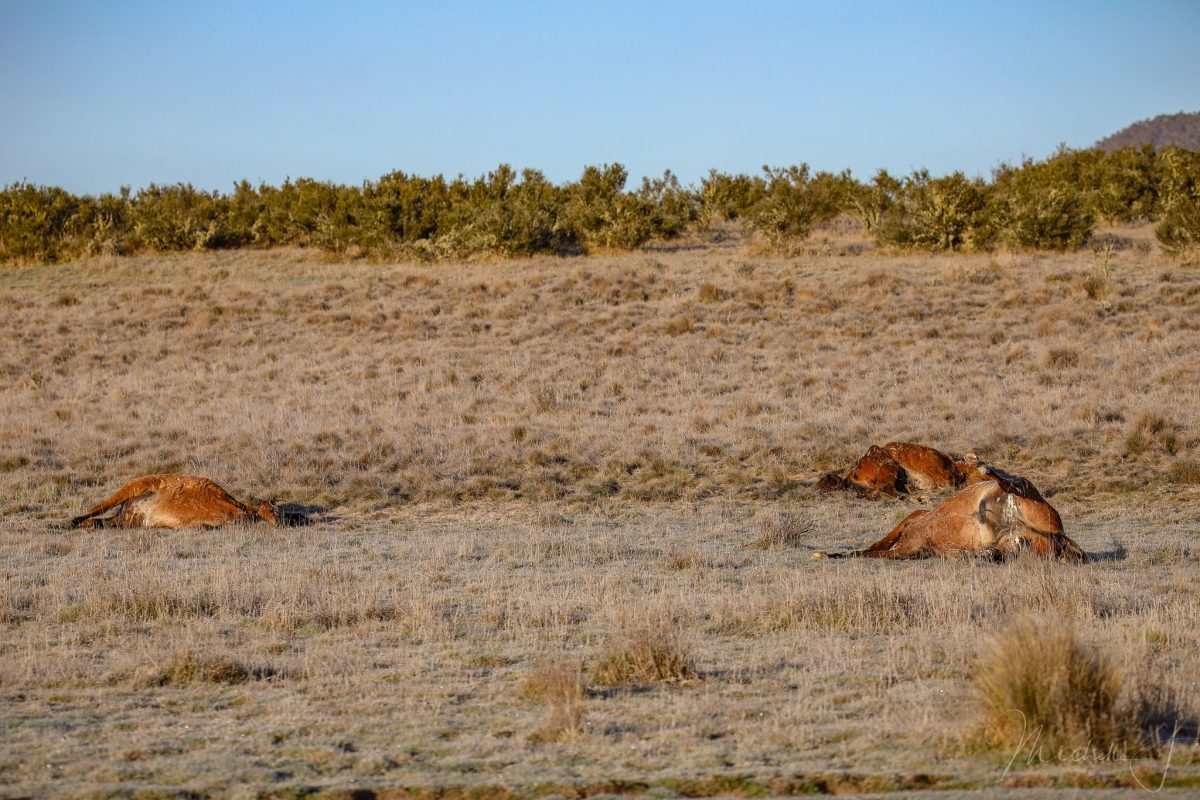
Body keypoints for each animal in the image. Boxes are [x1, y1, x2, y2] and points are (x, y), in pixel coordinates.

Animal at [70, 474, 278, 532]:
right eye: (273, 511)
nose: (279, 523)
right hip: (133, 487)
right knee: (93, 511)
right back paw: (68, 523)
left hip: (130, 519)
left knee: (102, 521)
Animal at [811, 462, 1084, 563]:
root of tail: (1061, 536)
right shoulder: (911, 536)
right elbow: (873, 549)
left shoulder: (910, 533)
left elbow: (873, 551)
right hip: (1016, 543)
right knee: (996, 552)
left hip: (1037, 509)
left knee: (1020, 482)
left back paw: (984, 468)